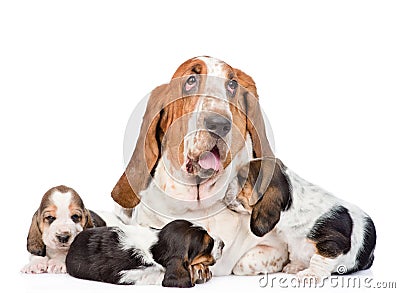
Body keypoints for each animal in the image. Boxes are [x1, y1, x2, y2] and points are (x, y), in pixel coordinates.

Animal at [227, 159, 376, 280]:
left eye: (241, 177)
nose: (227, 185)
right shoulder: (293, 243)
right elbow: (296, 254)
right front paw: (295, 266)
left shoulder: (333, 241)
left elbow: (320, 258)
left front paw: (311, 274)